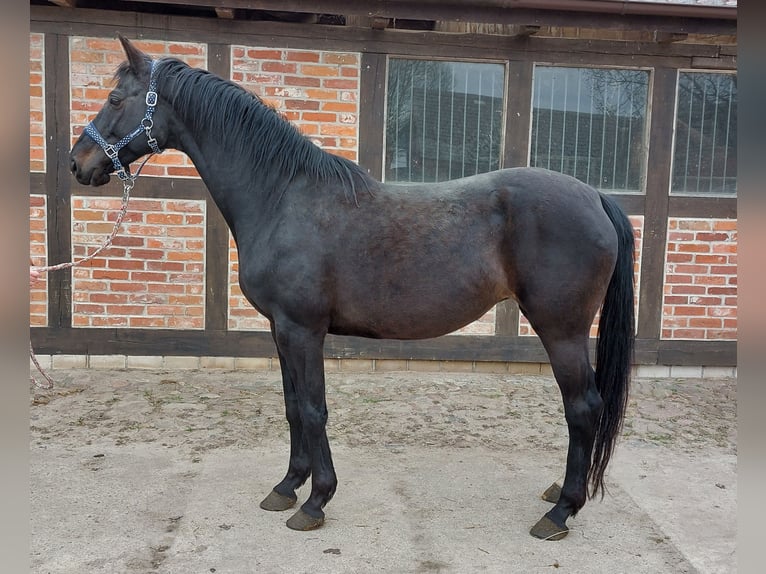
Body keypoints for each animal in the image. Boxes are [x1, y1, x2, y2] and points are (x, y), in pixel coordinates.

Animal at [69, 34, 635, 541]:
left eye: (115, 99)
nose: (78, 163)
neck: (282, 196)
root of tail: (595, 196)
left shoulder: (303, 330)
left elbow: (314, 408)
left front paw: (316, 501)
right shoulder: (281, 330)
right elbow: (293, 406)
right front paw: (286, 487)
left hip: (561, 330)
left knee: (583, 407)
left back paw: (561, 511)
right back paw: (559, 494)